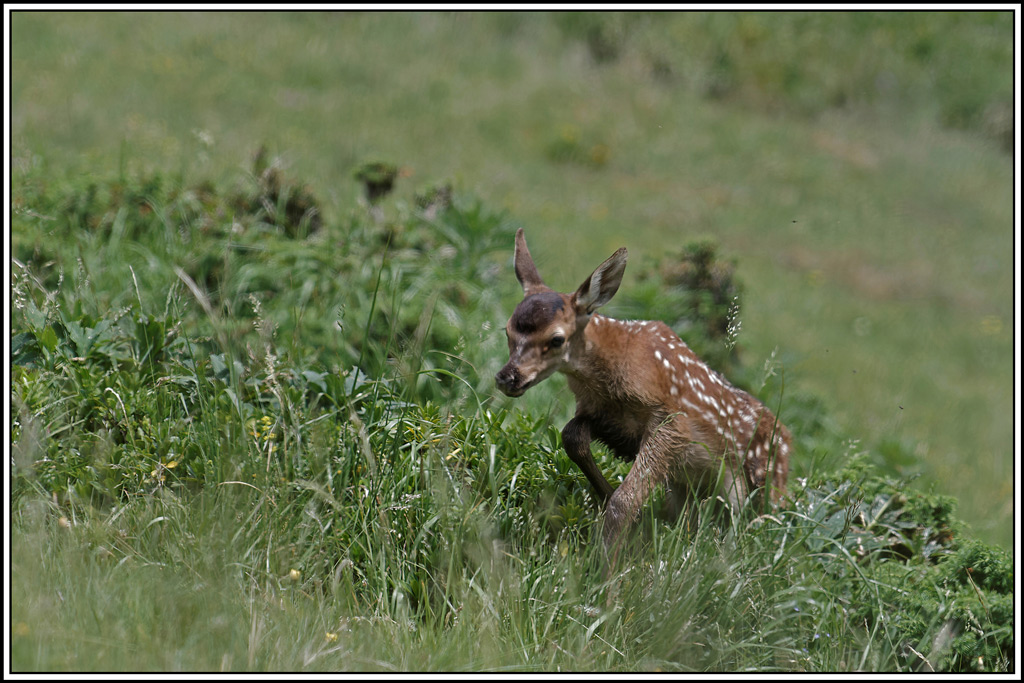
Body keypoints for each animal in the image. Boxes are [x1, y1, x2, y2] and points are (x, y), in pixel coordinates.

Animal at [495, 229, 791, 563]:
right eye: (507, 330)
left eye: (556, 339)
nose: (507, 377)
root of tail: (787, 440)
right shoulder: (602, 413)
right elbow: (572, 436)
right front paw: (607, 496)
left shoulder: (673, 421)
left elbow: (624, 501)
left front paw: (604, 565)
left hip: (764, 483)